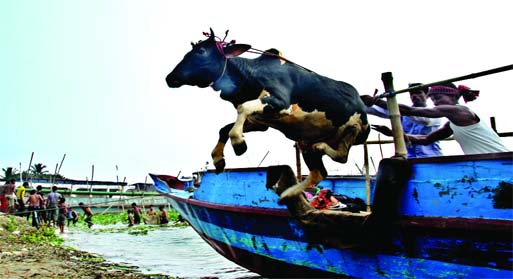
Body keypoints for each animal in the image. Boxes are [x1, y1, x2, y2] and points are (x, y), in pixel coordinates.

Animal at [166, 29, 370, 202]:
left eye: (201, 51)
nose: (169, 78)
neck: (247, 79)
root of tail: (361, 102)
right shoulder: (261, 121)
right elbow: (224, 128)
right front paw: (218, 159)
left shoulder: (281, 103)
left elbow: (242, 110)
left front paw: (239, 143)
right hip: (305, 141)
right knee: (318, 172)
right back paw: (288, 193)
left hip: (357, 129)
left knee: (342, 155)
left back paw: (323, 148)